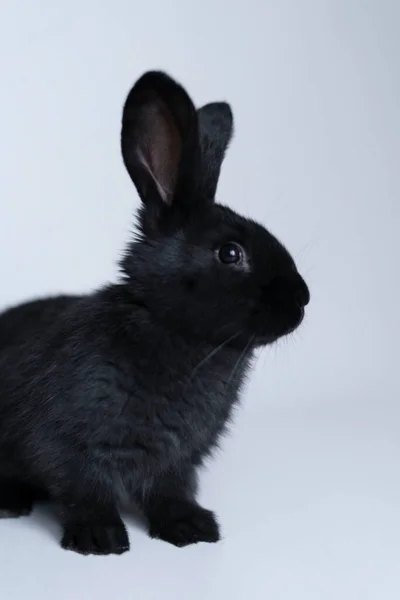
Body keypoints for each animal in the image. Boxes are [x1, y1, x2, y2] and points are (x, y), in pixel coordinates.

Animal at [0, 72, 310, 556]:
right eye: (230, 253)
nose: (303, 299)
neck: (174, 333)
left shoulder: (179, 458)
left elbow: (170, 491)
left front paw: (192, 528)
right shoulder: (66, 444)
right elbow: (84, 491)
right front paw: (99, 539)